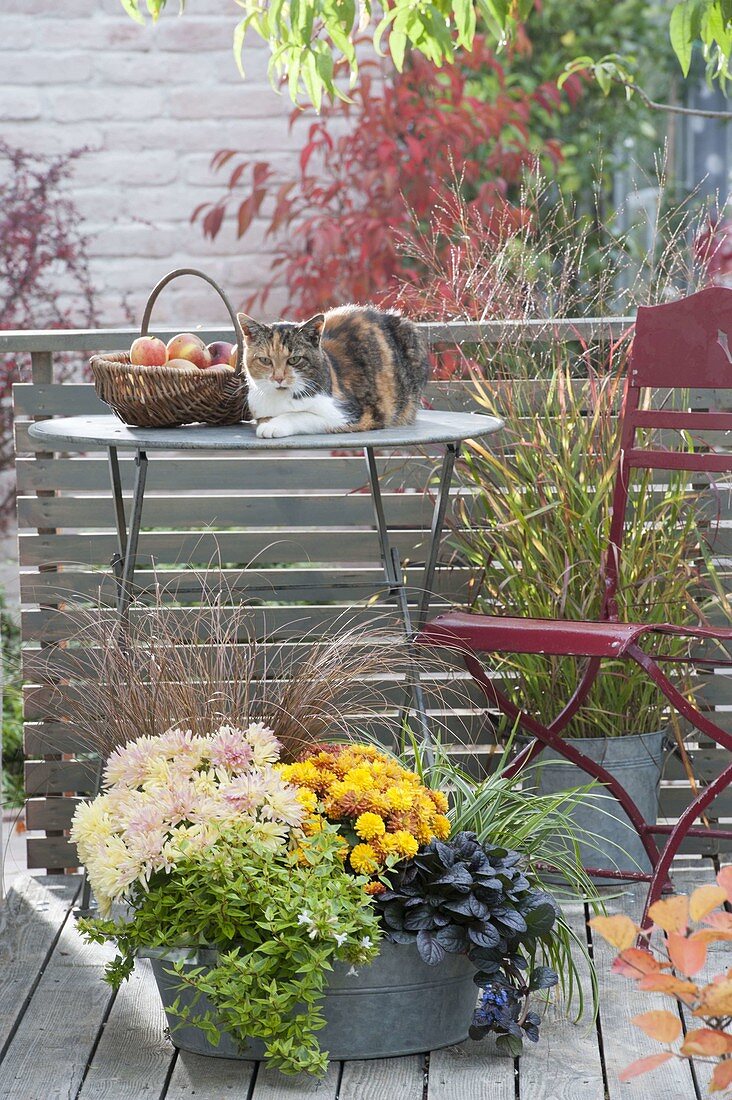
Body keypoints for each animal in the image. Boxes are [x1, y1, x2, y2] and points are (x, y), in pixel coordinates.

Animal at [236, 308, 429, 440]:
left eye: (294, 359)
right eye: (265, 360)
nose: (278, 378)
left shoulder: (352, 415)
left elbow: (301, 415)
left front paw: (273, 425)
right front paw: (267, 422)